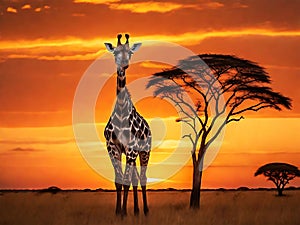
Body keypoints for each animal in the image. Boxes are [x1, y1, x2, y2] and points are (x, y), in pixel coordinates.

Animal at [103, 33, 151, 216]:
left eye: (129, 52)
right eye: (115, 52)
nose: (124, 63)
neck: (122, 111)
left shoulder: (131, 148)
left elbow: (125, 180)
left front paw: (123, 213)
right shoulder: (112, 147)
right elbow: (119, 181)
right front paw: (118, 212)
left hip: (144, 151)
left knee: (142, 178)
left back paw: (145, 211)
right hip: (134, 153)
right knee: (135, 178)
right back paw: (136, 210)